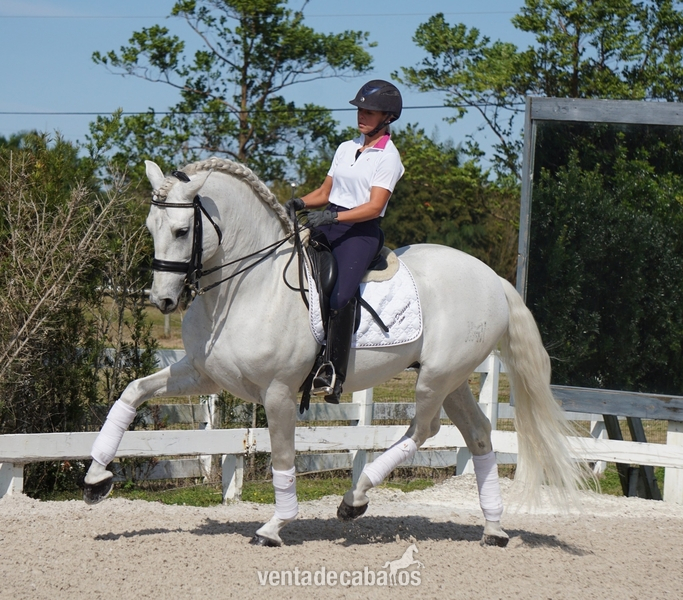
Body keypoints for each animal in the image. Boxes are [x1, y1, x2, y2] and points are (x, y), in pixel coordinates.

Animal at [83, 157, 589, 547]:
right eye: (150, 227)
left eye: (183, 230)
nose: (163, 300)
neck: (246, 287)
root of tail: (493, 278)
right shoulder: (204, 374)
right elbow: (132, 392)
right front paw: (96, 479)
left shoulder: (279, 392)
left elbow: (283, 458)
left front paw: (274, 526)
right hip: (452, 378)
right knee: (479, 434)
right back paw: (494, 529)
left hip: (437, 377)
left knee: (424, 429)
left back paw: (355, 499)